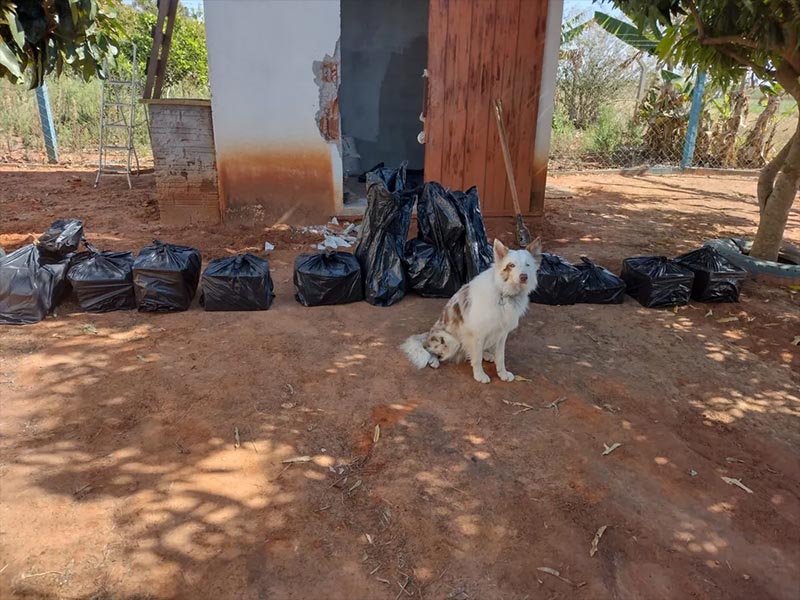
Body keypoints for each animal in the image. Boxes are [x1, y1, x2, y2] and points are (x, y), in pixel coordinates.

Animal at [404, 237, 540, 382]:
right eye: (512, 265)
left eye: (528, 265)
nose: (524, 277)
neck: (504, 293)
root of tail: (429, 333)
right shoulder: (478, 334)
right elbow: (477, 358)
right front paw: (480, 375)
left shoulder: (502, 334)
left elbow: (500, 357)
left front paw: (502, 373)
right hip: (451, 341)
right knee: (428, 348)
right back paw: (433, 360)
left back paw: (487, 354)